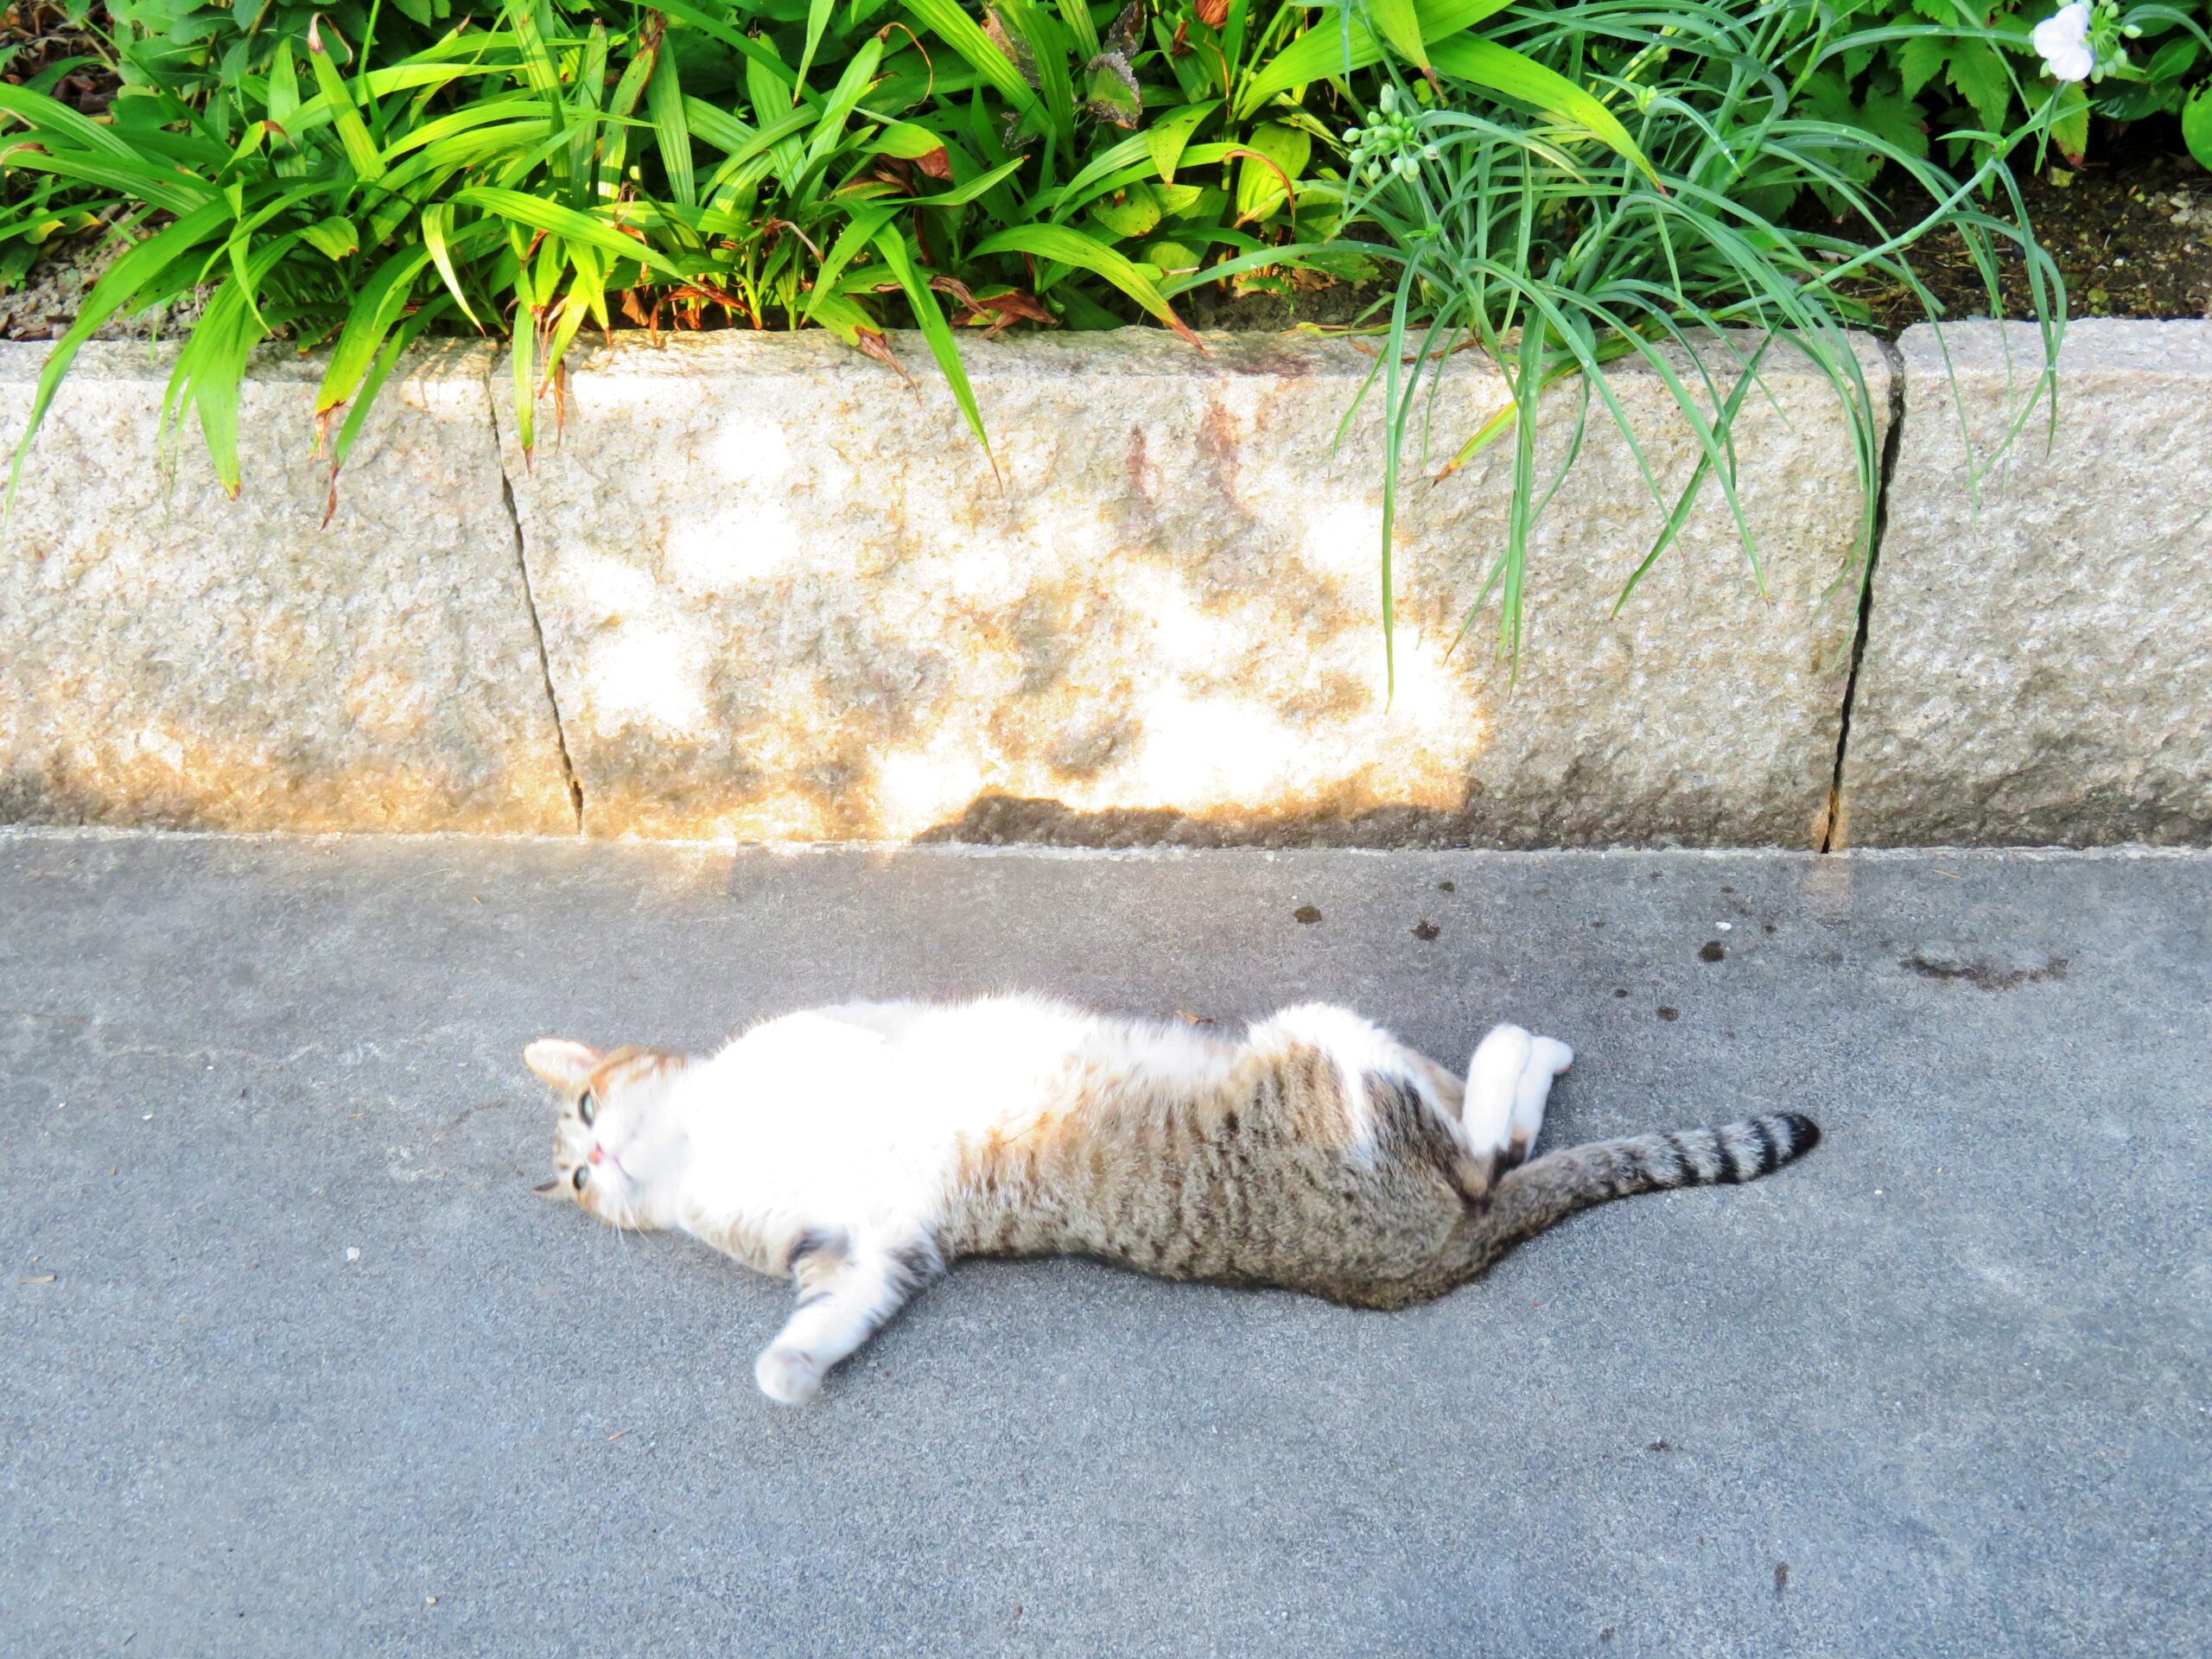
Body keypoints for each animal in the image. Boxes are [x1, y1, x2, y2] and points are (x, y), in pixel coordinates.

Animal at [522, 995, 1814, 1407]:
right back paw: (1523, 1056)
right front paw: (790, 1373)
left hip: (1324, 1041)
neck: (703, 1159)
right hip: (1336, 1063)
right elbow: (819, 1325)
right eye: (576, 1175)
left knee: (1491, 1141)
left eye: (586, 1104)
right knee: (1490, 1148)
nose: (594, 1164)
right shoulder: (874, 1253)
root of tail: (1433, 1255)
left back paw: (1525, 1046)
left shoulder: (830, 1064)